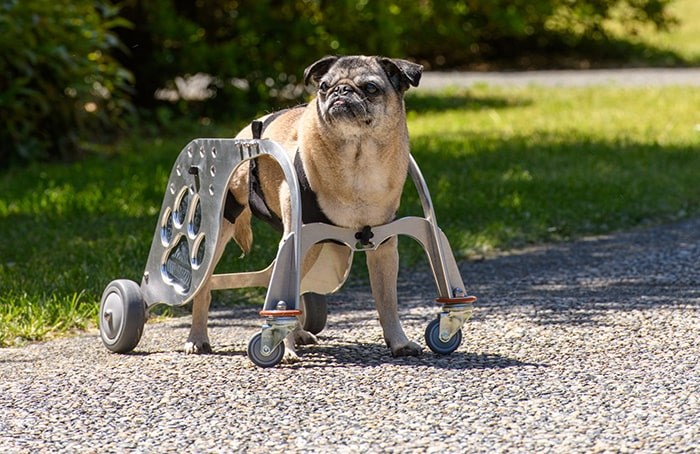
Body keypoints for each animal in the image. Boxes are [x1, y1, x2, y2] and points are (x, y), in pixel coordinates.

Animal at [185, 55, 422, 362]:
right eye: (324, 87)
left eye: (370, 88)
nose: (341, 90)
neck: (357, 159)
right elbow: (282, 301)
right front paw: (282, 348)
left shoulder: (383, 248)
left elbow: (387, 302)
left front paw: (399, 342)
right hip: (227, 229)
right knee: (205, 289)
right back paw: (198, 337)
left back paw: (297, 333)